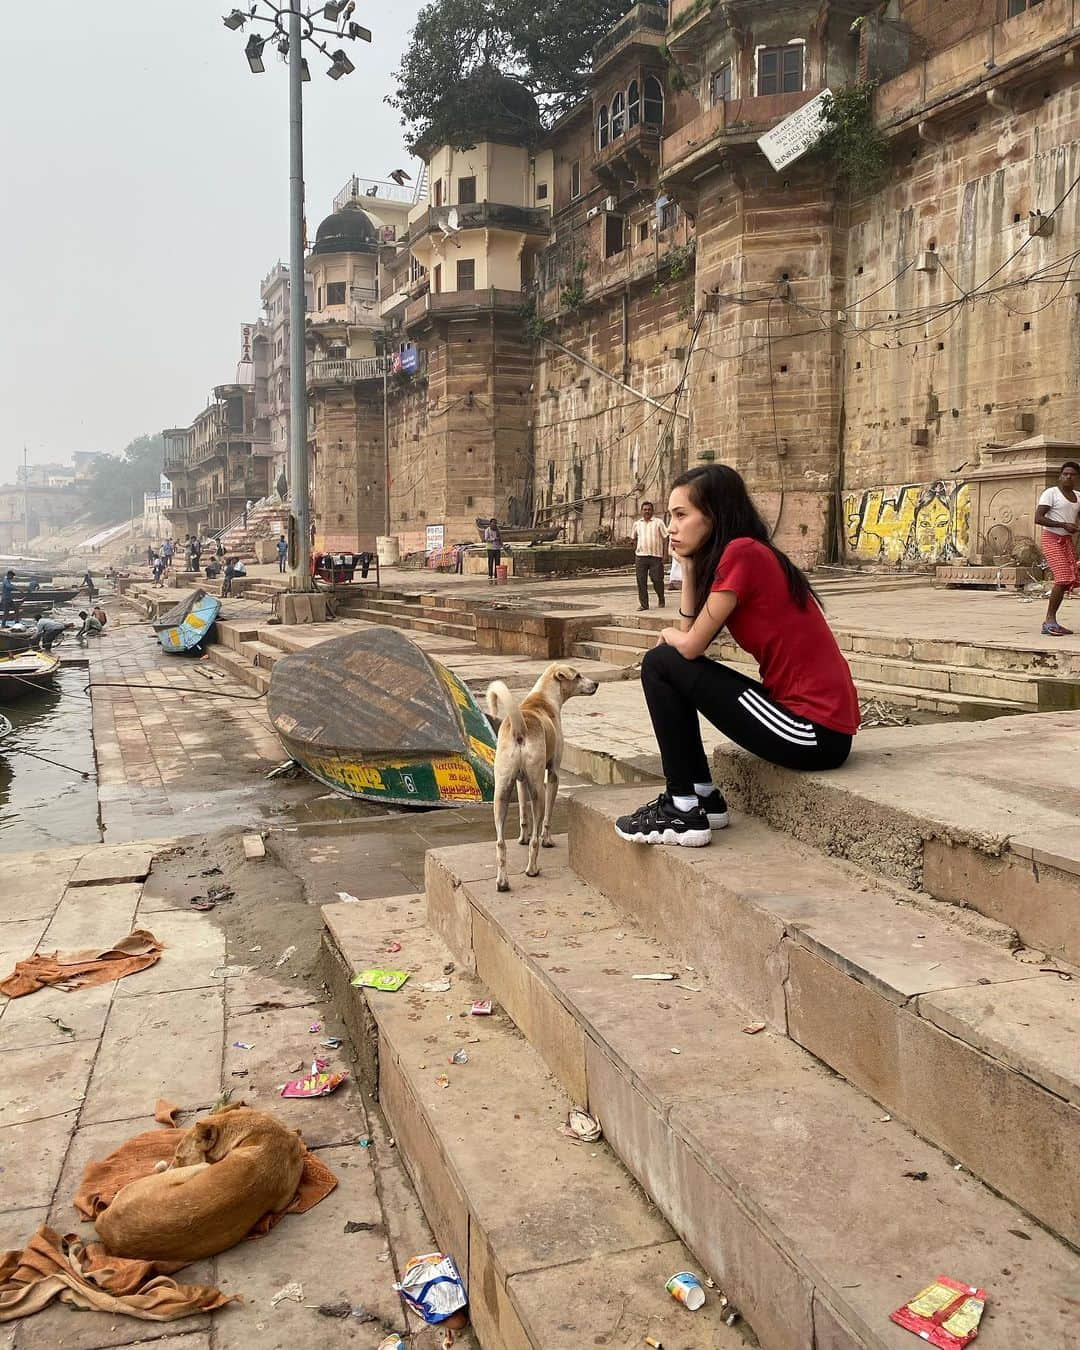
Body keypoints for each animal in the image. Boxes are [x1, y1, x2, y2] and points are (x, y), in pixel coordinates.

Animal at [486, 661, 599, 891]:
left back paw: (502, 882)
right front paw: (548, 839)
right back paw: (532, 869)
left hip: (501, 792)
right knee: (535, 838)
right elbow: (548, 816)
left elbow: (522, 813)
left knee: (500, 843)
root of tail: (519, 728)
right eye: (578, 675)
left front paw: (521, 837)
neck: (544, 699)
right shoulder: (553, 774)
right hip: (538, 789)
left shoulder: (520, 782)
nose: (596, 684)